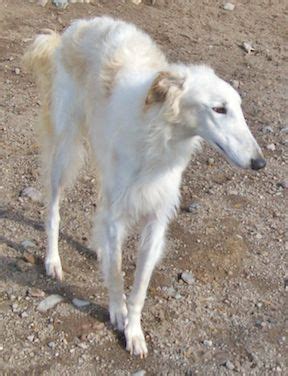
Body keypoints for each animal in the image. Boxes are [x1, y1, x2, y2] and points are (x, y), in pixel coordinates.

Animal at [23, 16, 266, 356]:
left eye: (238, 108)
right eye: (219, 109)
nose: (260, 162)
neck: (157, 137)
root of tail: (78, 25)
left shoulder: (157, 219)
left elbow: (138, 287)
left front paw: (134, 331)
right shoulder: (118, 214)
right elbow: (116, 273)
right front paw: (117, 312)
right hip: (65, 150)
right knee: (53, 211)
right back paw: (53, 260)